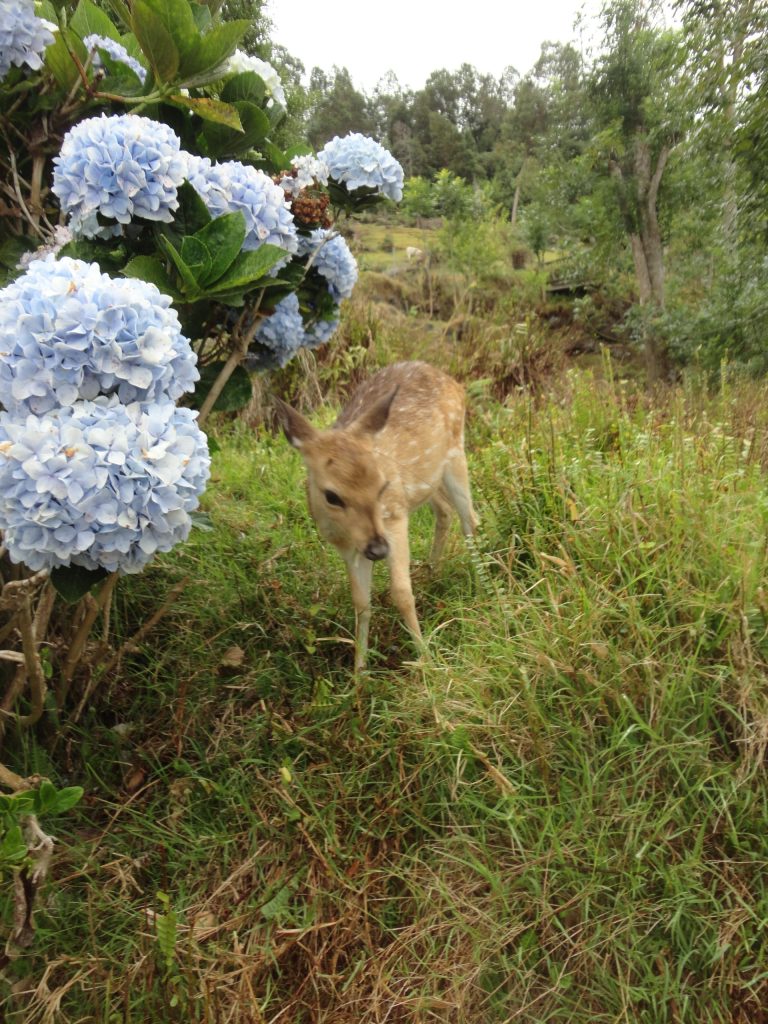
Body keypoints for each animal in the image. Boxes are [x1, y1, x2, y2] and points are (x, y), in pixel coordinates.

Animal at [274, 361, 478, 672]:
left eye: (382, 485)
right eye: (332, 496)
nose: (378, 549)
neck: (346, 534)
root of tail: (449, 379)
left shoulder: (394, 517)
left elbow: (401, 593)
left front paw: (427, 661)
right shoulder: (349, 548)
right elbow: (361, 603)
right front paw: (359, 671)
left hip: (456, 451)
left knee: (471, 520)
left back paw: (485, 586)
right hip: (427, 479)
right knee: (445, 511)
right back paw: (432, 572)